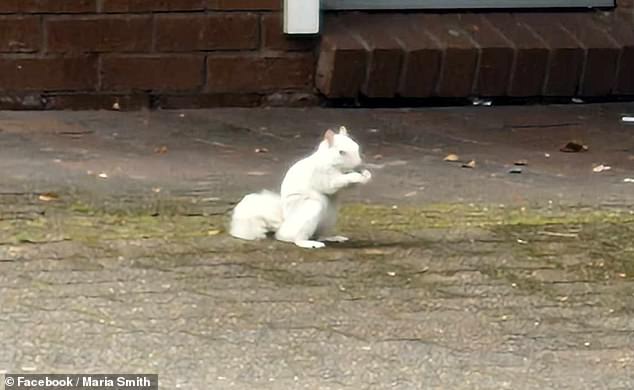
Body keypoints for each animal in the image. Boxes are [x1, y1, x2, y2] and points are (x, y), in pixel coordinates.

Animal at [230, 128, 370, 250]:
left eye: (357, 147)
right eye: (341, 152)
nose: (359, 165)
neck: (329, 162)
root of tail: (284, 225)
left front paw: (366, 175)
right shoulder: (319, 174)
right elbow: (330, 184)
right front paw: (356, 175)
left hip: (330, 217)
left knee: (320, 235)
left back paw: (332, 238)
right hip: (310, 210)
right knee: (294, 237)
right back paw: (307, 243)